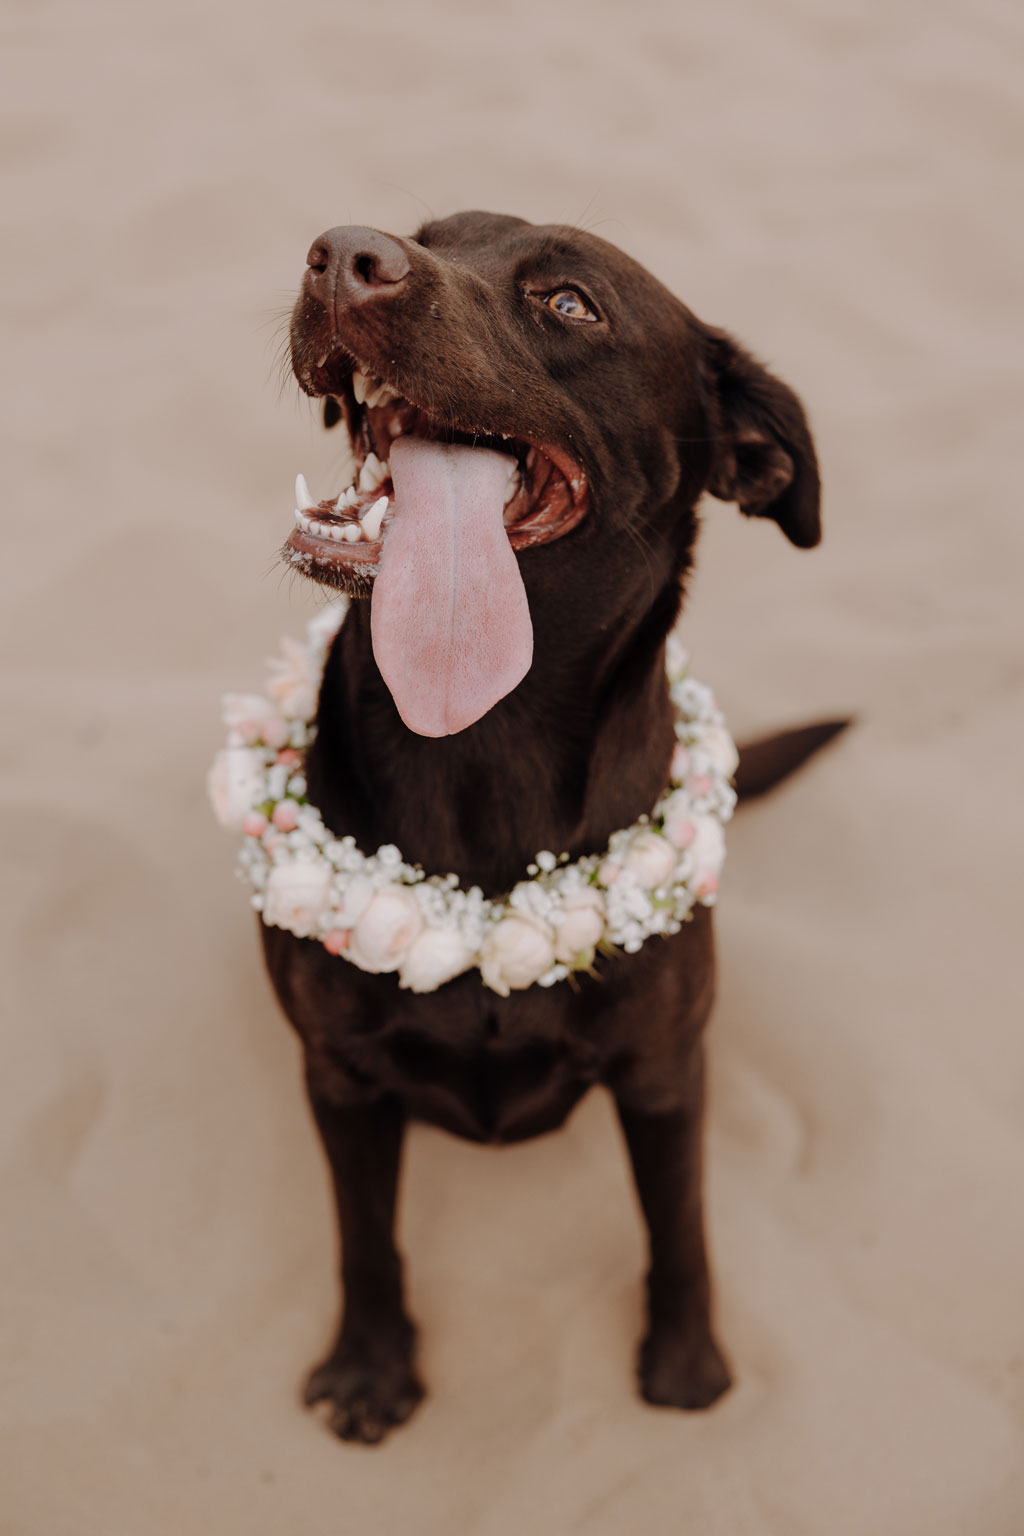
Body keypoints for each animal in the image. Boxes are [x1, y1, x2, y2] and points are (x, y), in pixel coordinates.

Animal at [257, 213, 841, 1437]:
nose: (340, 252)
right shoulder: (339, 1076)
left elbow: (679, 1226)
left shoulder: (666, 1071)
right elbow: (363, 1236)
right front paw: (371, 1367)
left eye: (569, 303)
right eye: (422, 234)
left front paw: (685, 1362)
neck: (480, 734)